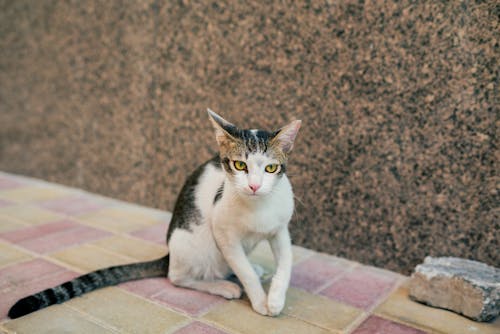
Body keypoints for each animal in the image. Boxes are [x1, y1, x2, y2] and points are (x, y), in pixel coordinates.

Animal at [7, 109, 300, 318]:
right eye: (239, 166)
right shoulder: (224, 233)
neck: (258, 206)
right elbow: (244, 271)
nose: (254, 186)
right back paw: (222, 285)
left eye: (271, 169)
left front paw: (275, 298)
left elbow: (286, 264)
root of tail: (170, 252)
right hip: (195, 243)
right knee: (178, 276)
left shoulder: (280, 230)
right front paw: (260, 300)